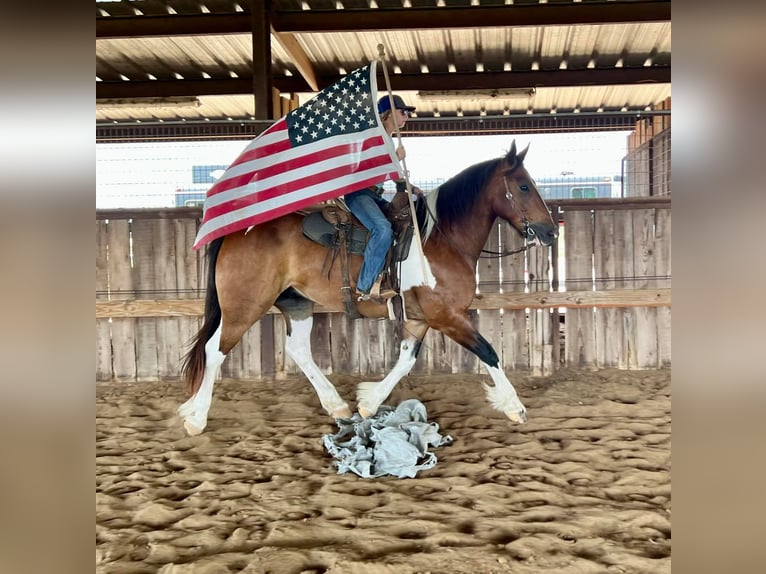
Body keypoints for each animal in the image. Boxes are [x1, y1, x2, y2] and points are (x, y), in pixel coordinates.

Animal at [180, 141, 560, 436]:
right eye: (524, 186)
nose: (551, 231)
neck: (441, 240)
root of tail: (235, 232)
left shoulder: (420, 318)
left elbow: (405, 362)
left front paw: (368, 403)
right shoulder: (448, 316)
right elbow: (489, 352)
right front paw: (514, 406)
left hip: (296, 302)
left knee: (298, 350)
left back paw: (336, 405)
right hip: (244, 306)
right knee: (215, 350)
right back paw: (196, 418)